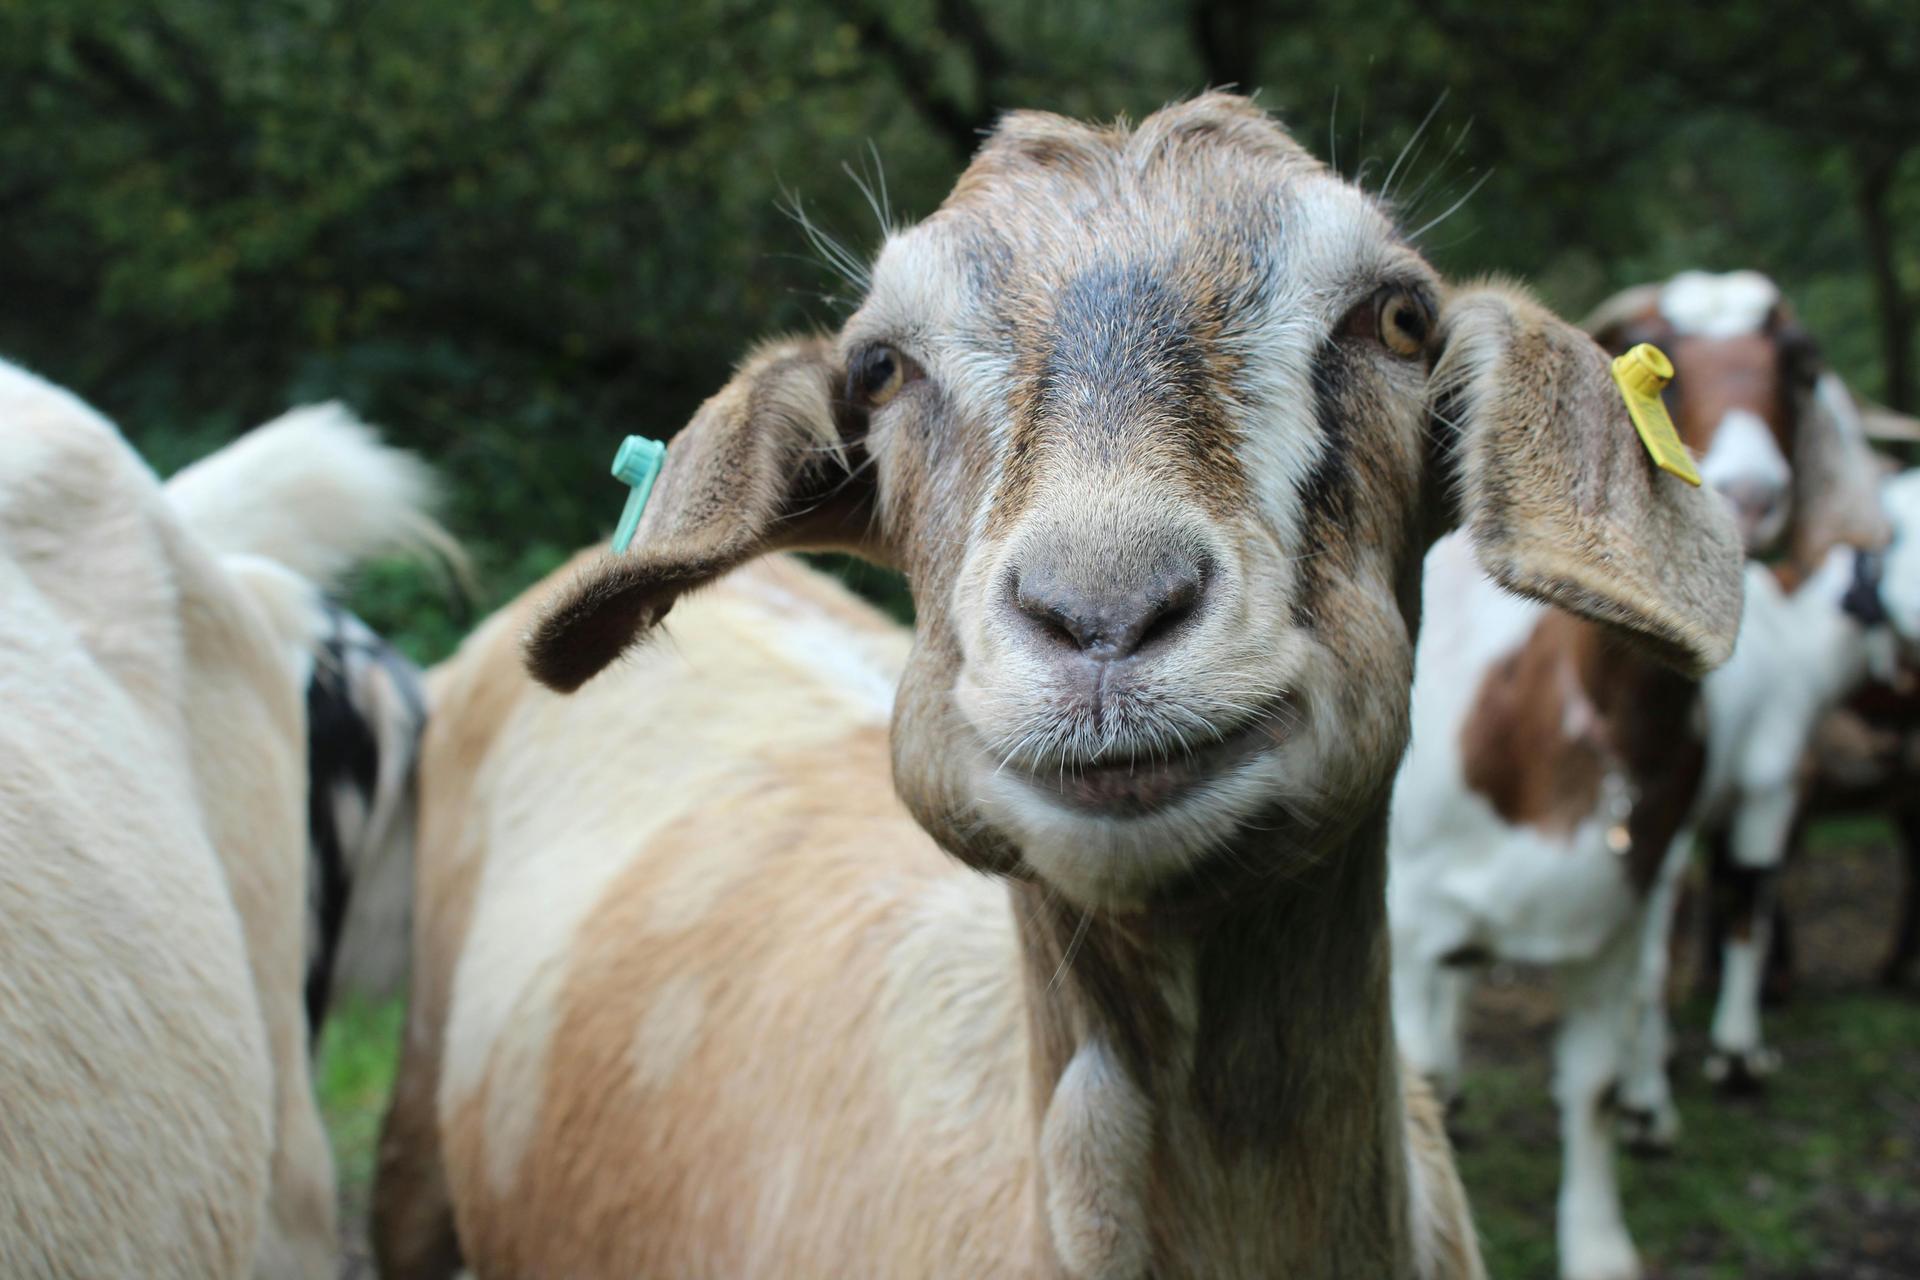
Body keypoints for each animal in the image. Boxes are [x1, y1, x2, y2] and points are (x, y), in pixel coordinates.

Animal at [1388, 270, 1887, 1280]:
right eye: (1660, 358)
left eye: (1799, 364)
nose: (1750, 496)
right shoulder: (1412, 922)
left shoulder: (1611, 922)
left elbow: (1594, 1086)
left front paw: (1599, 1242)